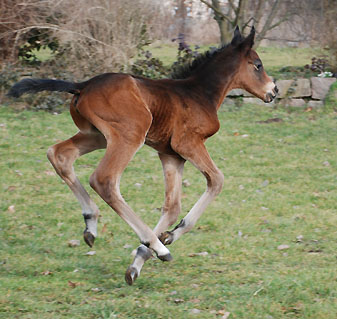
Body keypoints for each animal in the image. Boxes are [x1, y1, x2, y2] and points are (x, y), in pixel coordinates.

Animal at [8, 27, 276, 284]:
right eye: (258, 65)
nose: (273, 90)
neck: (199, 93)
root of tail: (82, 85)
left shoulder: (171, 155)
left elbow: (172, 206)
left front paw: (140, 260)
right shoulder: (188, 144)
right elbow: (217, 180)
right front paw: (166, 240)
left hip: (96, 135)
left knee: (59, 154)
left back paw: (92, 224)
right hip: (130, 134)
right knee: (103, 179)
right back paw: (156, 246)